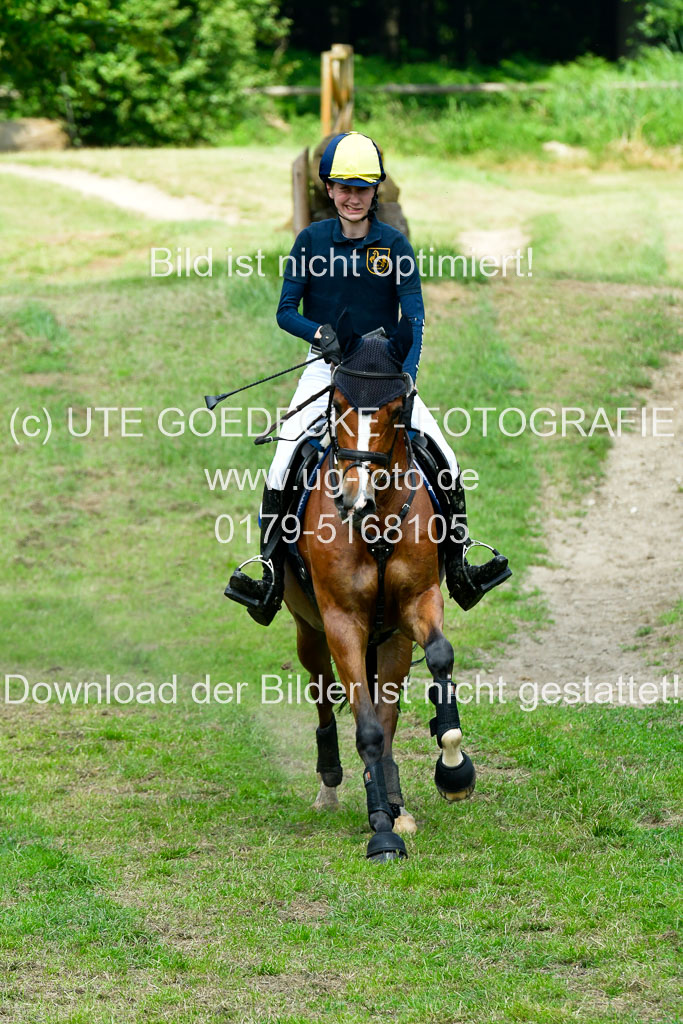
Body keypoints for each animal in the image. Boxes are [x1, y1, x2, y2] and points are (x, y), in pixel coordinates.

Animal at [282, 318, 476, 862]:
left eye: (395, 410)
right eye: (339, 403)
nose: (353, 496)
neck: (376, 520)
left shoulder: (417, 602)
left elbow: (440, 658)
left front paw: (453, 769)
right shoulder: (342, 620)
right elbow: (364, 724)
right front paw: (381, 834)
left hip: (391, 639)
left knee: (387, 710)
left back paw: (395, 801)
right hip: (309, 630)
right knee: (324, 692)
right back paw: (332, 785)